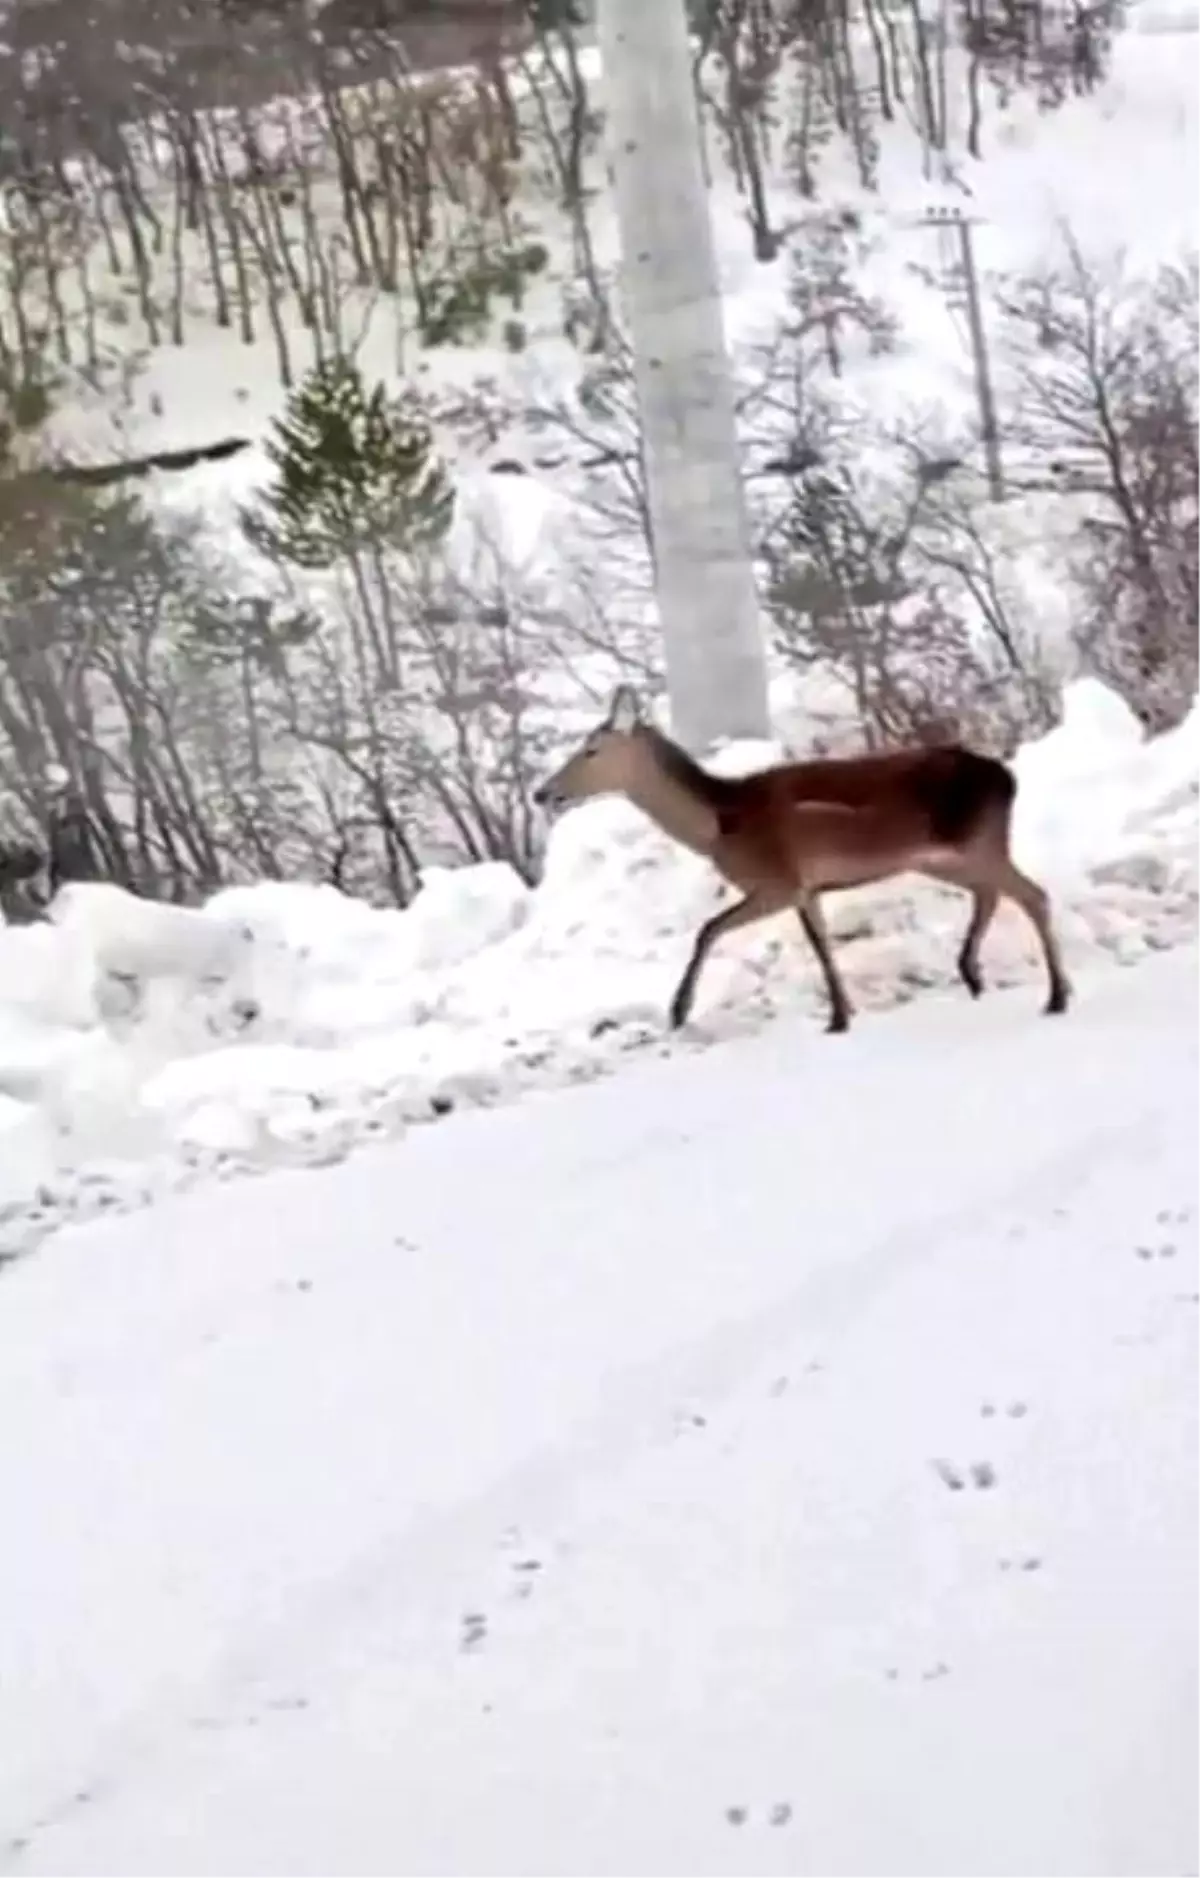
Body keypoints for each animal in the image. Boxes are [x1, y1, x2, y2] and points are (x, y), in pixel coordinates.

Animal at [529, 683, 1074, 1036]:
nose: (542, 793)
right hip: (943, 857)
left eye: (592, 749)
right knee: (995, 893)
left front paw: (679, 1011)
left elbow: (707, 929)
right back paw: (975, 975)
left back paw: (1055, 996)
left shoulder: (776, 881)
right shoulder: (804, 888)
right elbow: (821, 944)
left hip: (978, 840)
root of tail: (1007, 778)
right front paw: (840, 1015)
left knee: (1032, 894)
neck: (719, 825)